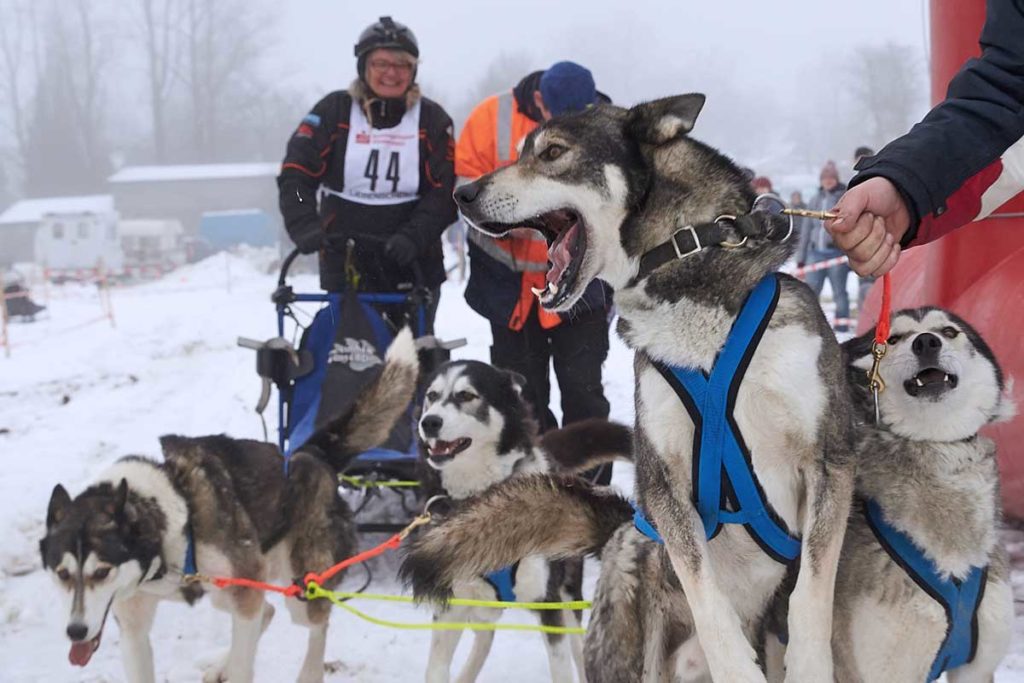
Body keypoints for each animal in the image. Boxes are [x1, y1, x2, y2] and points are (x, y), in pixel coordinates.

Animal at [40, 327, 419, 679]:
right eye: (63, 574)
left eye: (102, 571)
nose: (75, 631)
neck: (171, 518)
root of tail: (312, 454)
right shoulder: (134, 623)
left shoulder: (244, 593)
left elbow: (244, 661)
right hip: (232, 591)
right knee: (266, 613)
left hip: (297, 587)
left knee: (315, 623)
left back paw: (308, 673)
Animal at [399, 358, 630, 683]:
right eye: (431, 395)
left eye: (466, 395)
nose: (429, 422)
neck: (483, 500)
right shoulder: (450, 607)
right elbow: (436, 669)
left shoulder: (549, 605)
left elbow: (562, 667)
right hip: (480, 605)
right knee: (484, 638)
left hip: (568, 594)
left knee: (577, 645)